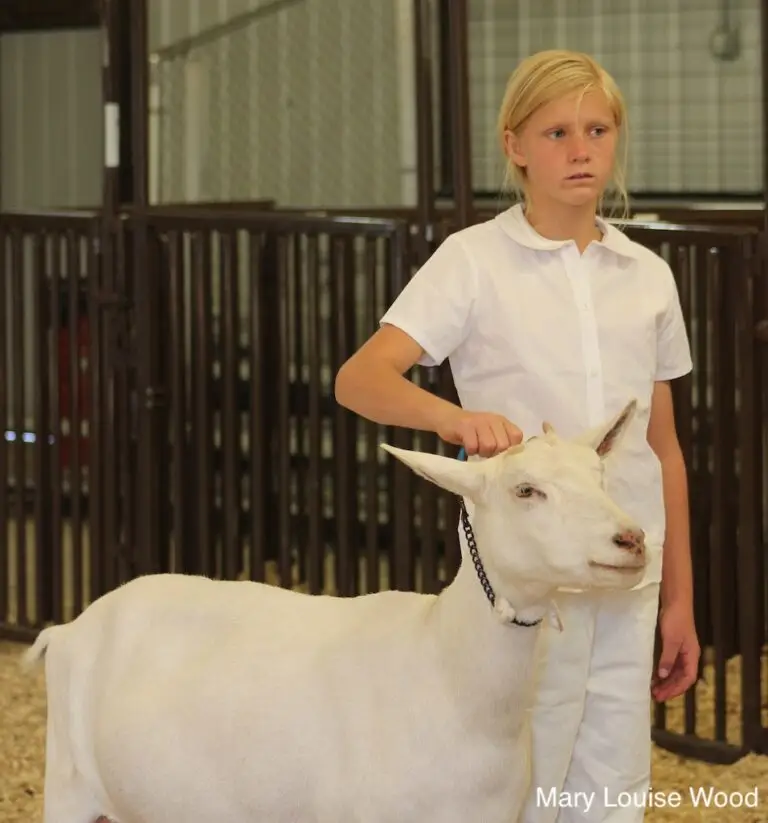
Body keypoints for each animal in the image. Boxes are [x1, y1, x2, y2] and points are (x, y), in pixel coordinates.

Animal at [23, 399, 647, 823]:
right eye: (525, 490)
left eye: (601, 477)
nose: (632, 540)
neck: (444, 669)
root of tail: (70, 628)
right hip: (67, 787)